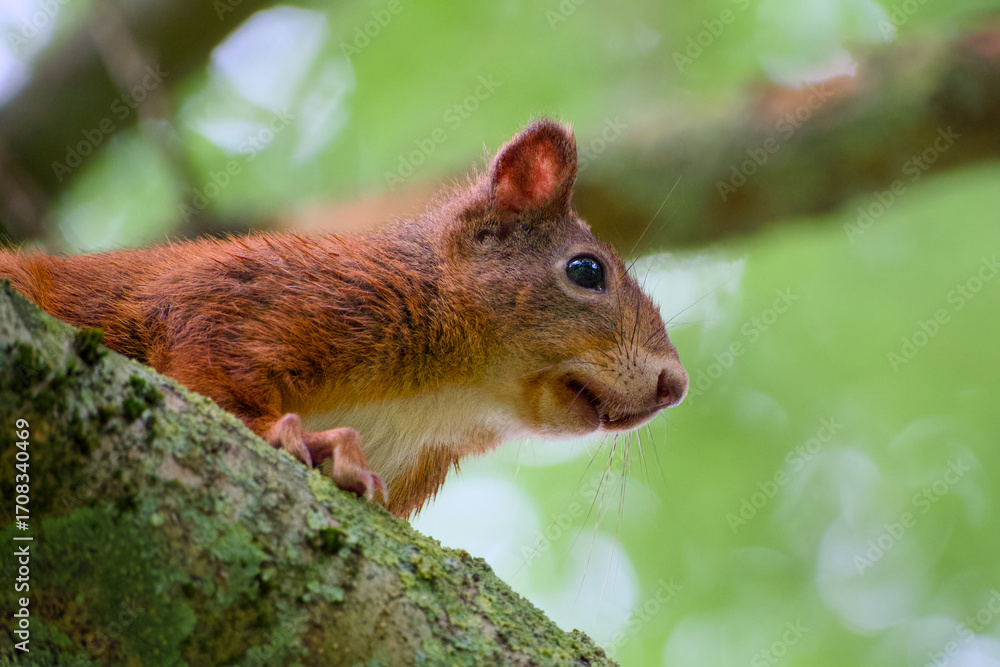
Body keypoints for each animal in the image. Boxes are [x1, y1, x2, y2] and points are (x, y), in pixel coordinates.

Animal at [0, 120, 689, 518]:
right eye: (586, 271)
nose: (674, 385)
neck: (450, 394)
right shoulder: (270, 295)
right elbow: (207, 355)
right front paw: (303, 438)